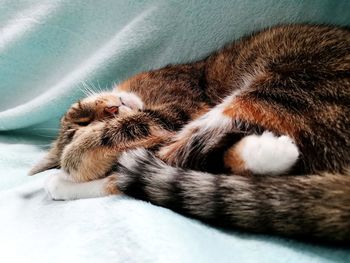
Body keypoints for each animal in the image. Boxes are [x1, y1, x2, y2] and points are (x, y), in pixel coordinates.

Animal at [30, 24, 350, 243]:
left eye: (83, 115)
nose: (112, 109)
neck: (140, 95)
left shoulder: (181, 103)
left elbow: (133, 129)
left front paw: (74, 159)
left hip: (284, 85)